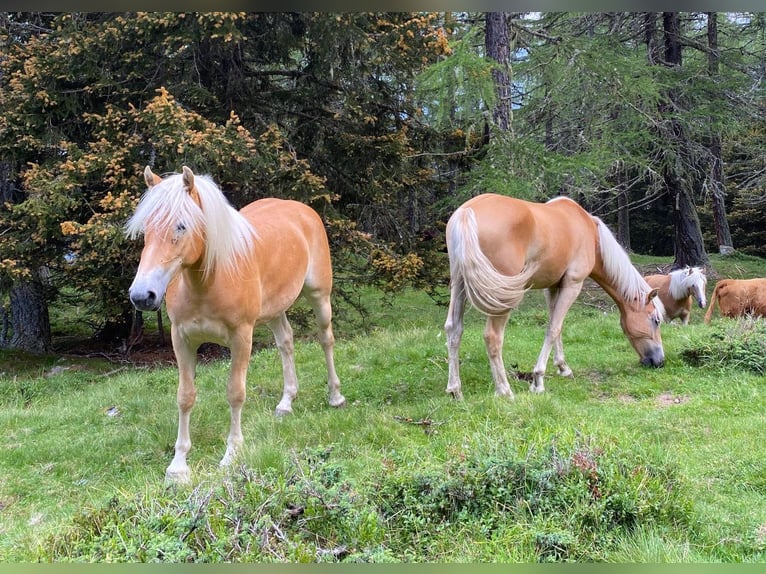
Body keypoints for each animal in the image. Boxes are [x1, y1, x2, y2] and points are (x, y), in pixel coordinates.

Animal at [124, 168, 346, 486]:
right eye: (146, 229)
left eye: (181, 226)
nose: (143, 296)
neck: (207, 282)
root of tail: (301, 209)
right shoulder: (182, 340)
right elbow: (185, 397)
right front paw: (178, 466)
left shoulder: (242, 338)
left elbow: (235, 393)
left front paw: (231, 455)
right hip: (275, 309)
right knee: (286, 342)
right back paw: (286, 402)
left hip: (319, 296)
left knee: (325, 339)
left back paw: (335, 397)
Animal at [444, 194, 664, 400]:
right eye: (655, 320)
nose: (660, 361)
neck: (590, 234)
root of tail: (467, 212)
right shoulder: (573, 284)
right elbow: (554, 328)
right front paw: (538, 381)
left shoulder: (552, 288)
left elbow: (555, 325)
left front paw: (562, 367)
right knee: (493, 337)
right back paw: (505, 391)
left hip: (459, 284)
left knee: (454, 330)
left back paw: (455, 391)